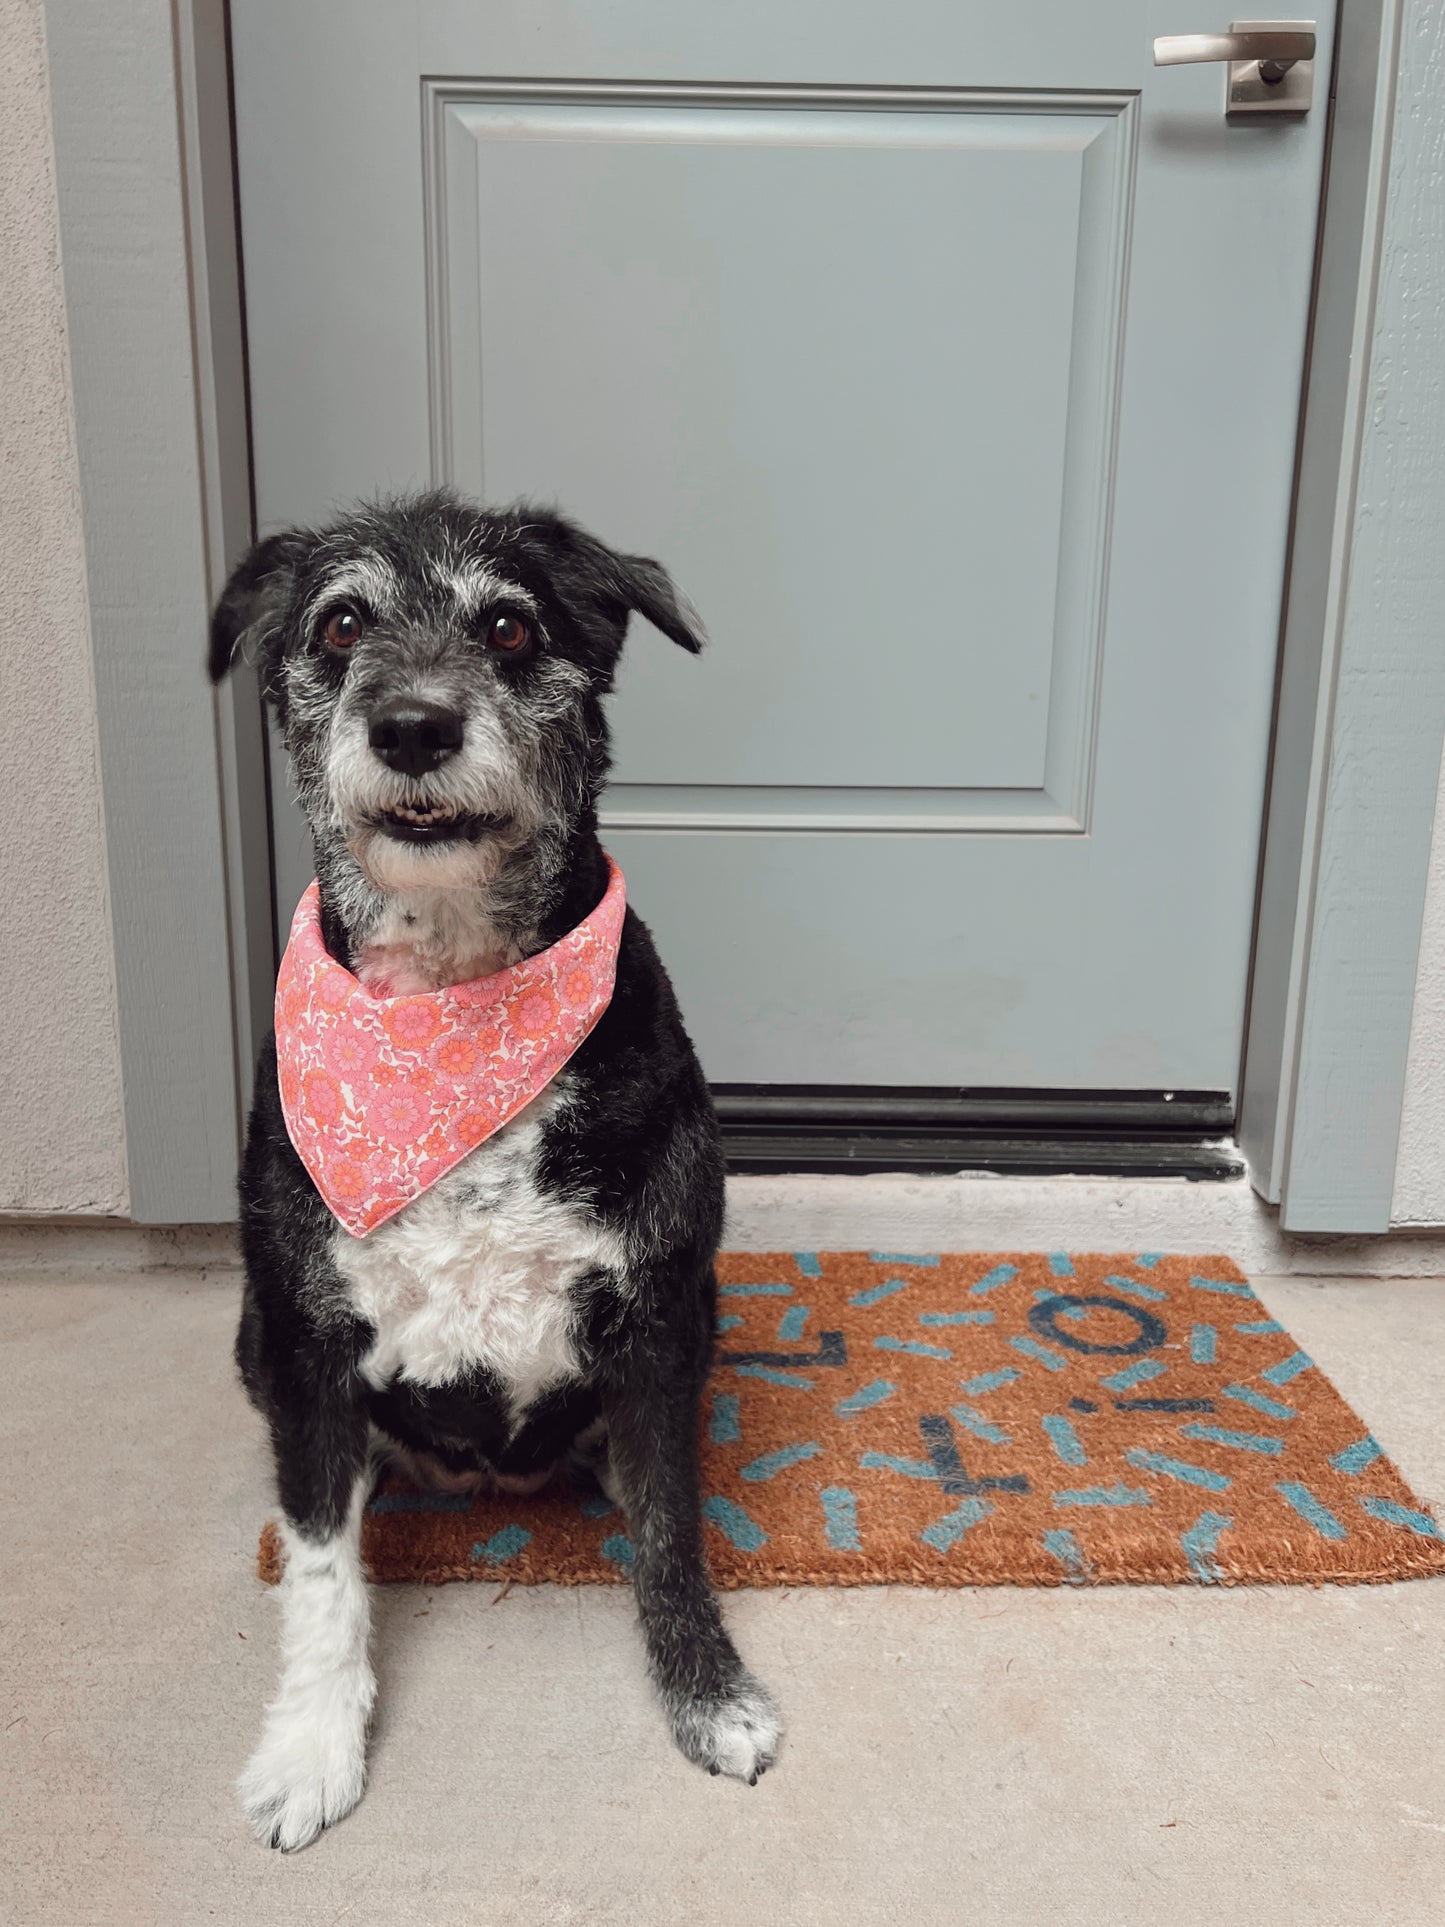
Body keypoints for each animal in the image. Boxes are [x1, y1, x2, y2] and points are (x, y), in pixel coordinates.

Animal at [210, 497, 782, 1849]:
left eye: (510, 625)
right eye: (341, 622)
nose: (414, 723)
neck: (450, 1012)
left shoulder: (657, 1324)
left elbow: (672, 1529)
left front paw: (708, 1695)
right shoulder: (303, 1346)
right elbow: (321, 1569)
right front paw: (309, 1748)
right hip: (254, 1338)